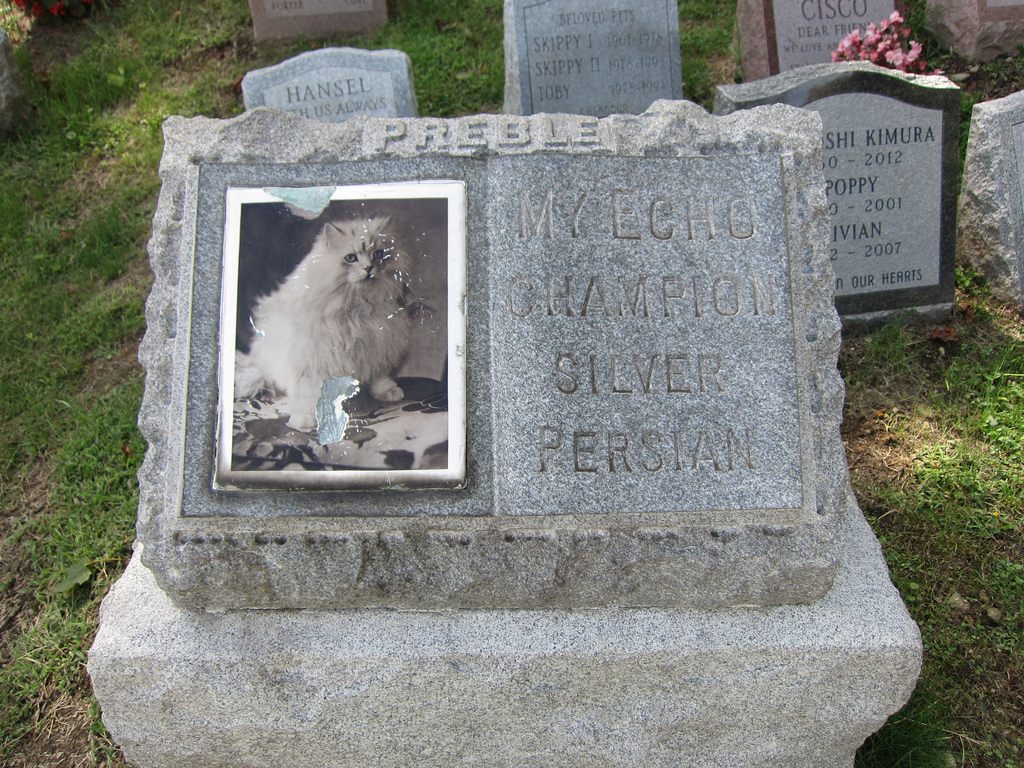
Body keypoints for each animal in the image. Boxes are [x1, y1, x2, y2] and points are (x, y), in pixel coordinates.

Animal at [235, 217, 411, 434]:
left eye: (378, 254)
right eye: (351, 258)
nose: (369, 268)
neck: (357, 307)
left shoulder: (379, 342)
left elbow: (380, 375)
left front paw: (388, 391)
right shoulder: (311, 361)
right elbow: (306, 394)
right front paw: (305, 419)